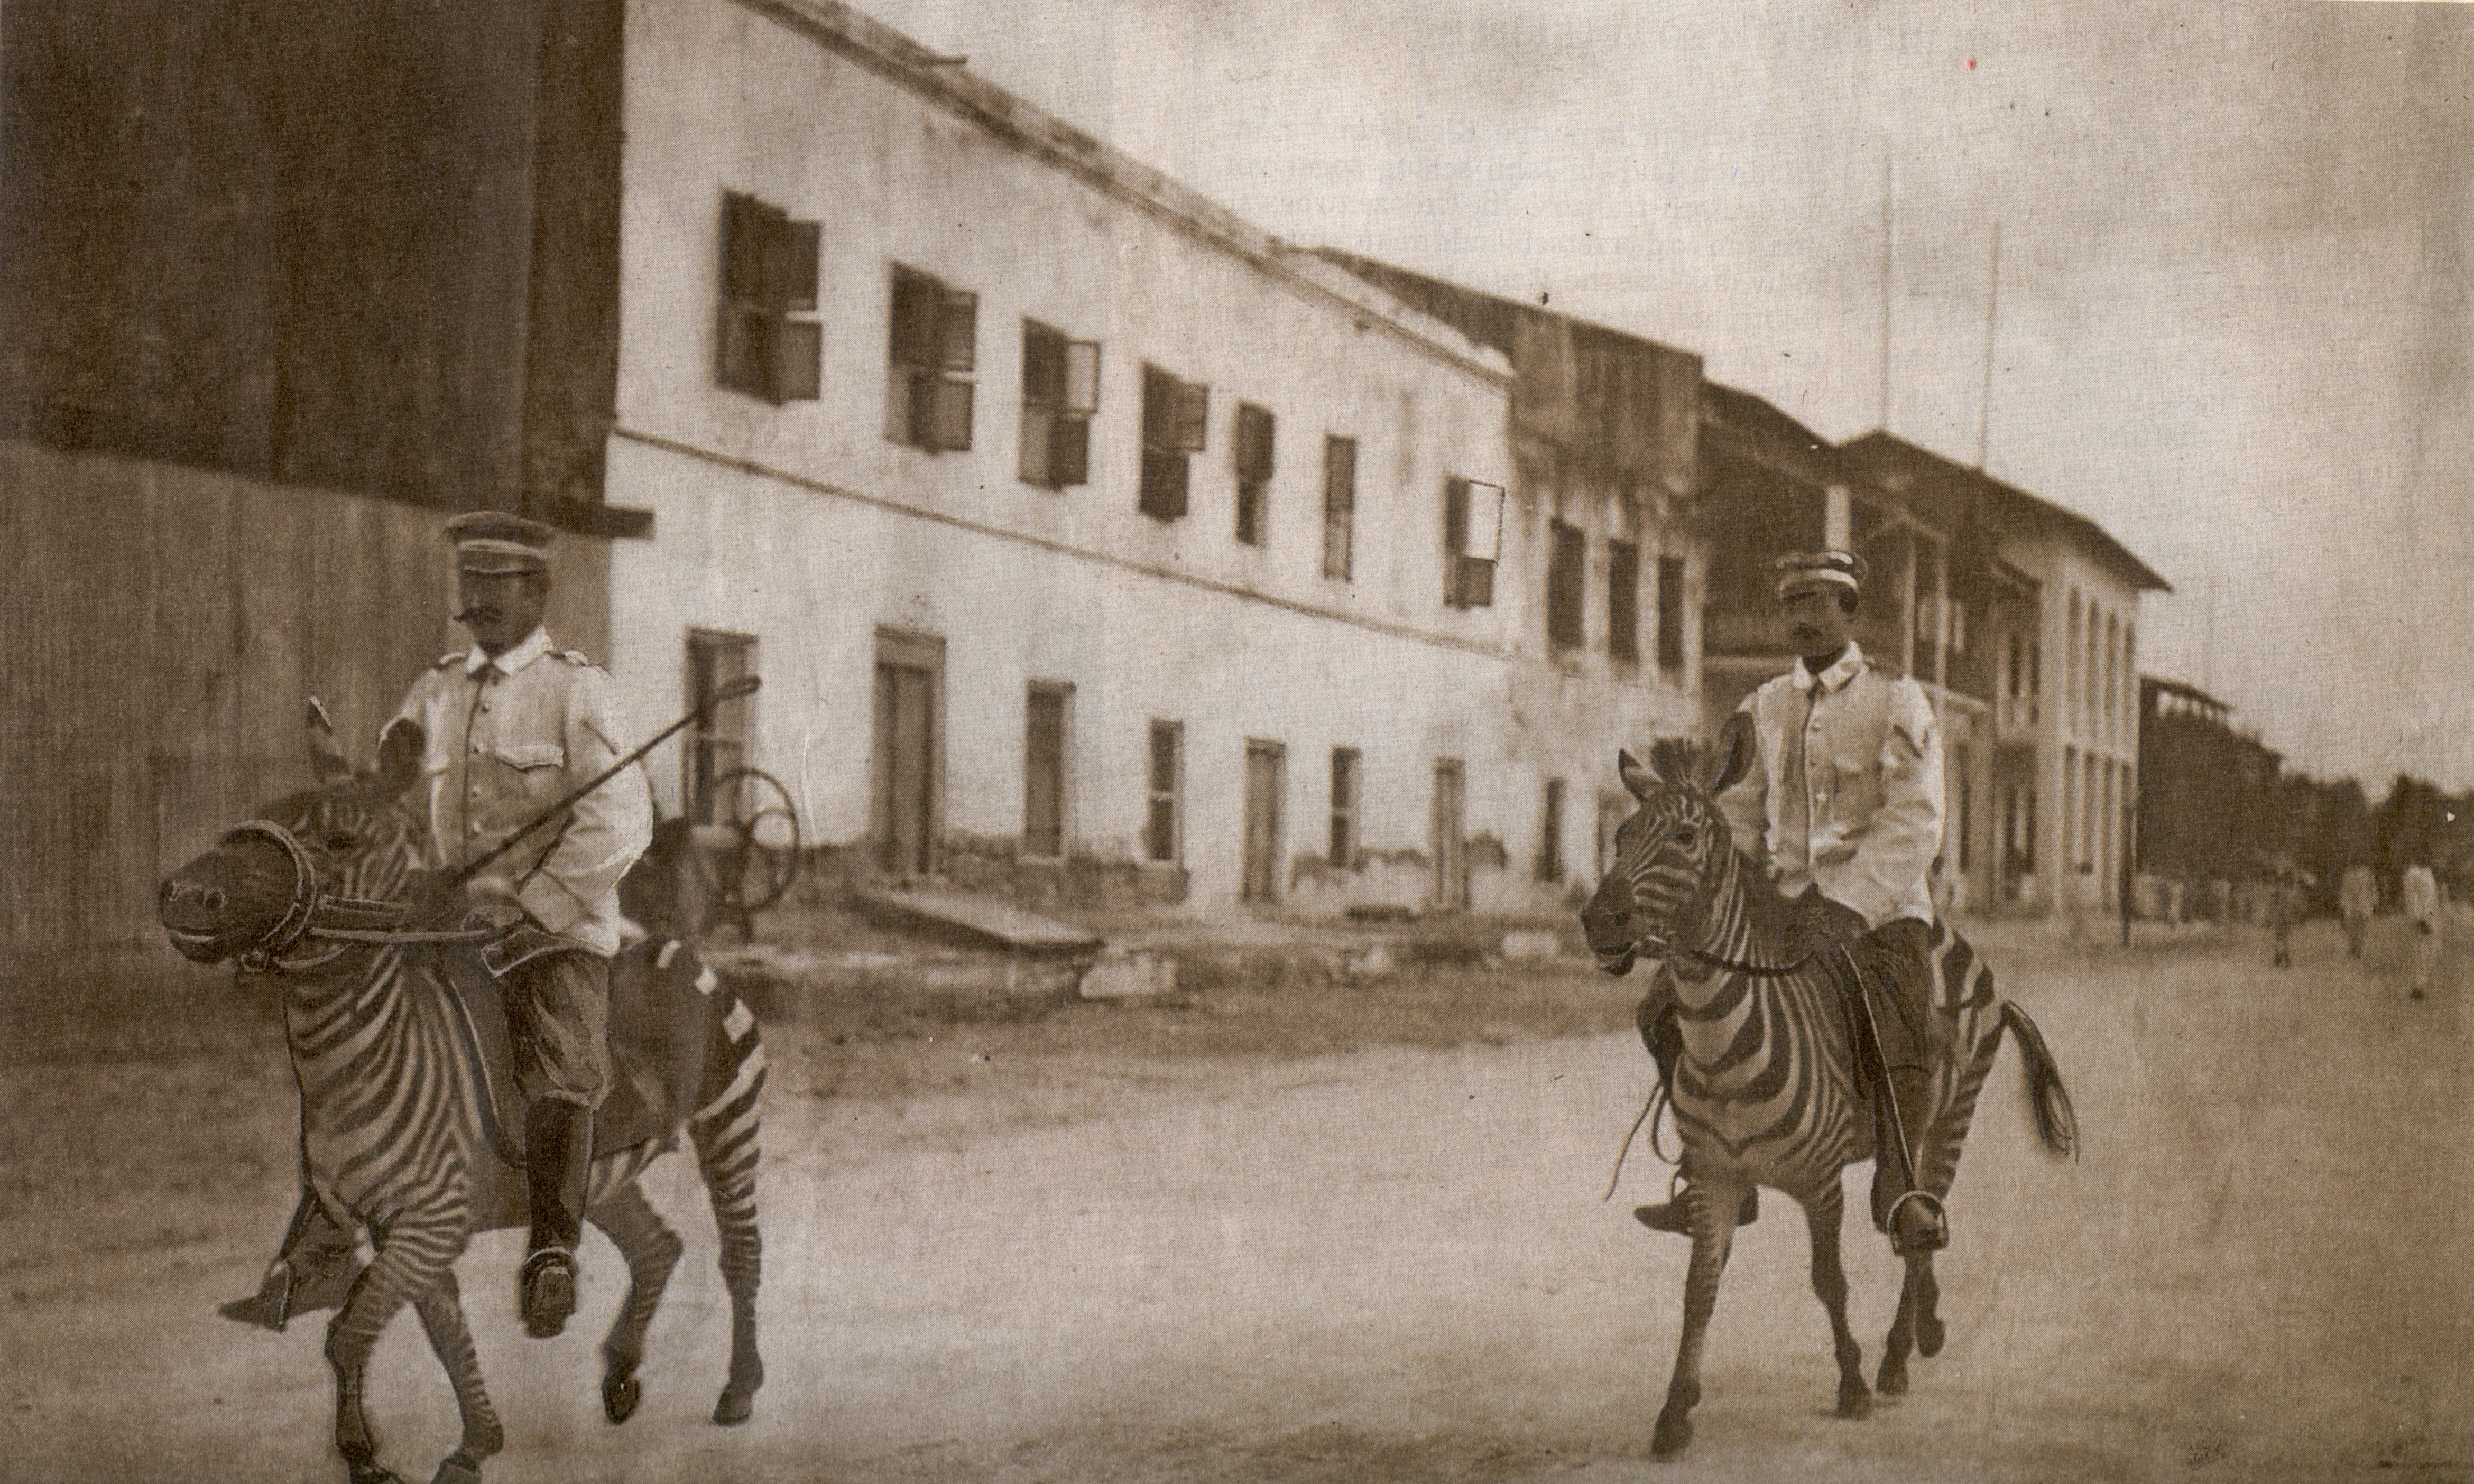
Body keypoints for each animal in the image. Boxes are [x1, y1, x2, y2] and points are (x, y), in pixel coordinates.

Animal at [155, 717, 762, 1484]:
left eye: (340, 840)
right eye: (262, 813)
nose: (182, 895)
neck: (357, 1059)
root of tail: (674, 948)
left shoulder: (430, 1224)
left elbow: (348, 1334)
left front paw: (365, 1458)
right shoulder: (400, 1230)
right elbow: (443, 1331)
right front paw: (476, 1444)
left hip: (731, 1125)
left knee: (740, 1254)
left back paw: (738, 1390)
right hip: (599, 1174)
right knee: (657, 1246)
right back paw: (621, 1375)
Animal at [1583, 717, 2068, 1464]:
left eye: (1686, 838)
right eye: (1621, 835)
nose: (1598, 921)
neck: (1725, 1046)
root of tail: (1960, 942)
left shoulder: (1821, 1184)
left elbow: (1829, 1282)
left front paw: (1853, 1385)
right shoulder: (1717, 1179)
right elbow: (1699, 1291)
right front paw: (1675, 1412)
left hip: (1950, 1119)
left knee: (1919, 1225)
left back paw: (1896, 1357)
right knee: (1916, 1227)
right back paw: (1927, 1327)